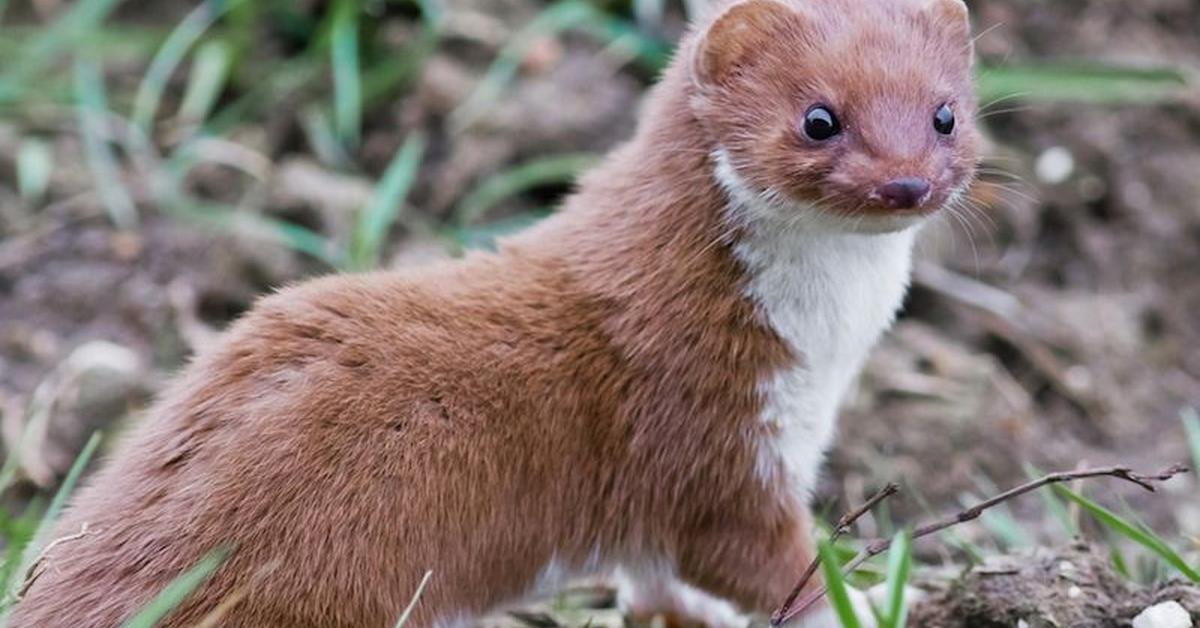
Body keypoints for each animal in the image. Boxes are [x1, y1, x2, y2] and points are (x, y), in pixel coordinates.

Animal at [14, 0, 979, 624]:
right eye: (819, 117)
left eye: (946, 115)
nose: (906, 183)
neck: (823, 356)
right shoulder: (710, 436)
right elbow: (762, 563)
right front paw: (884, 599)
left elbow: (667, 592)